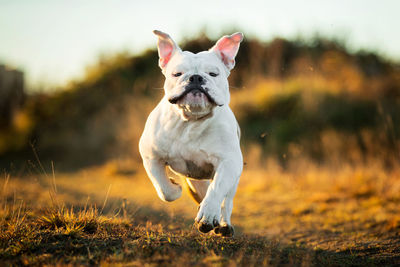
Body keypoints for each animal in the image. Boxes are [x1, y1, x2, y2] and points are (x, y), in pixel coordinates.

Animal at [139, 30, 242, 238]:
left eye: (213, 74)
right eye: (177, 74)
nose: (195, 78)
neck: (191, 119)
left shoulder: (230, 162)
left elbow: (217, 189)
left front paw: (208, 214)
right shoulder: (150, 155)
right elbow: (163, 188)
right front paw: (174, 187)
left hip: (233, 179)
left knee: (226, 201)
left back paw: (224, 224)